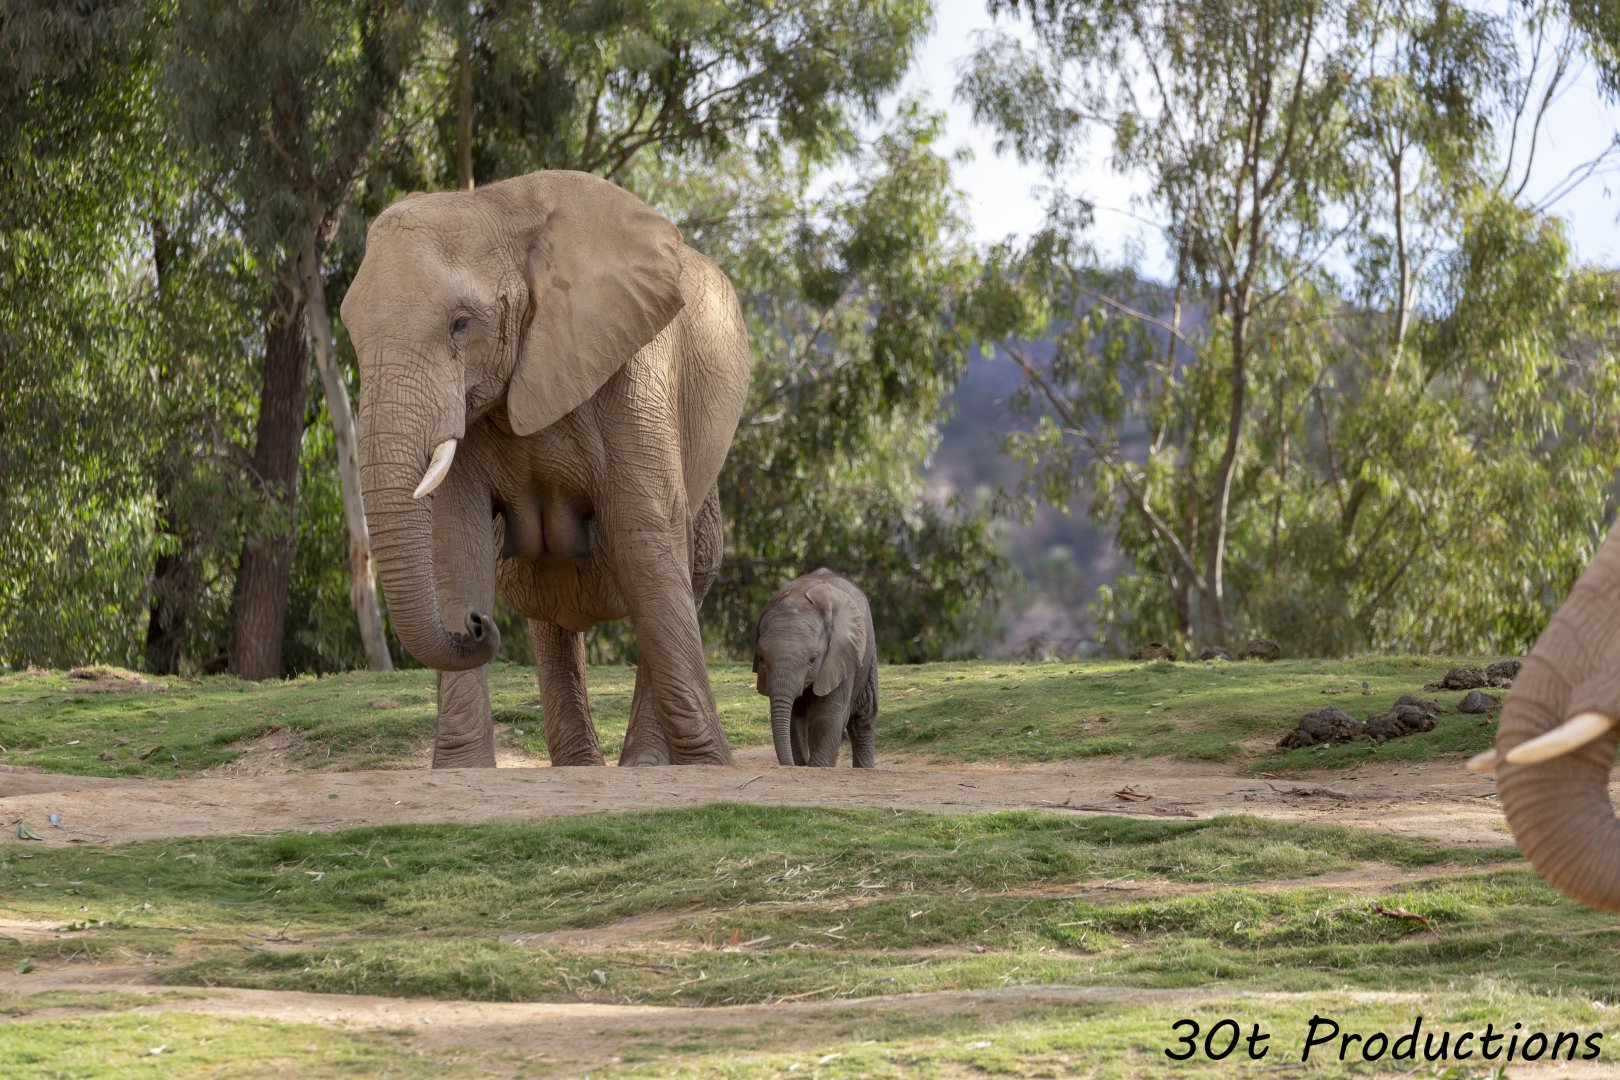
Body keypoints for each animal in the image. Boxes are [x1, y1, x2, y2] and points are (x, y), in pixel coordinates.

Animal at [339, 169, 750, 768]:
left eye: (461, 324)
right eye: (349, 332)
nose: (475, 624)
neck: (499, 207)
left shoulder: (632, 367)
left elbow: (642, 538)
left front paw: (709, 769)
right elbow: (458, 543)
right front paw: (461, 774)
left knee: (678, 576)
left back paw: (642, 766)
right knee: (552, 616)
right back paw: (583, 767)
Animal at [753, 568, 878, 768]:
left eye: (813, 659)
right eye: (761, 659)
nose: (790, 765)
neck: (797, 599)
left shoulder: (840, 655)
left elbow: (828, 714)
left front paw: (818, 766)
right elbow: (795, 716)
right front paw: (803, 764)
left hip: (867, 653)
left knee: (863, 717)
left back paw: (865, 769)